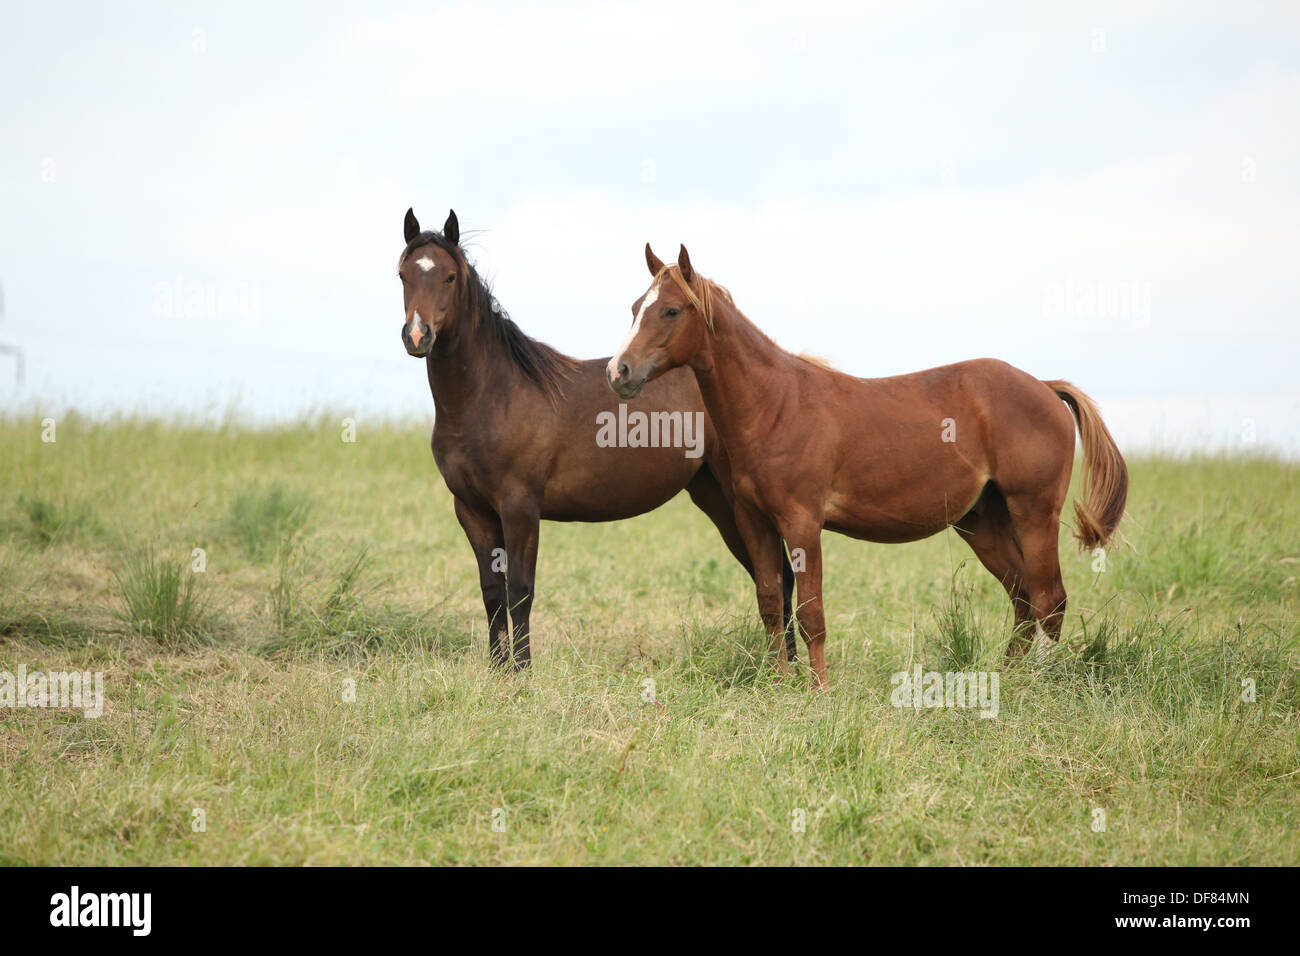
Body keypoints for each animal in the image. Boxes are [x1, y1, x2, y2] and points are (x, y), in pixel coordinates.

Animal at [396, 209, 796, 669]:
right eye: (403, 274)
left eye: (448, 276)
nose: (417, 335)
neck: (492, 394)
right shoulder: (472, 511)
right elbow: (493, 594)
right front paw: (498, 670)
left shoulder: (520, 507)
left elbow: (521, 592)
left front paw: (522, 672)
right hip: (713, 495)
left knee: (781, 577)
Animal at [606, 243, 1128, 688]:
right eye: (634, 308)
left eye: (671, 310)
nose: (619, 372)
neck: (775, 405)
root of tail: (1043, 386)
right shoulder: (754, 521)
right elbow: (772, 604)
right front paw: (778, 686)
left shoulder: (802, 522)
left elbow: (811, 613)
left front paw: (818, 692)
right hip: (982, 521)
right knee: (1023, 599)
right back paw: (1008, 680)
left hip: (1033, 511)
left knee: (1048, 600)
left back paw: (1038, 685)